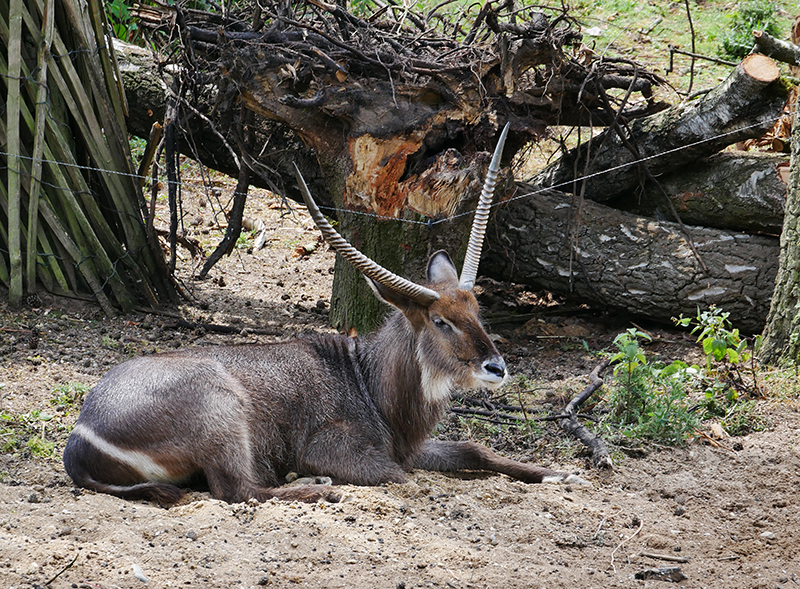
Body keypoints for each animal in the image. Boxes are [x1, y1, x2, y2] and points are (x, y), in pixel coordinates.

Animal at [62, 126, 584, 504]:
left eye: (477, 309)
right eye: (440, 321)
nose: (496, 368)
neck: (367, 380)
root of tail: (81, 438)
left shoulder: (413, 445)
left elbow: (475, 448)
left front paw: (562, 475)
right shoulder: (337, 448)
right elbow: (401, 476)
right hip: (221, 411)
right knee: (238, 490)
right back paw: (317, 489)